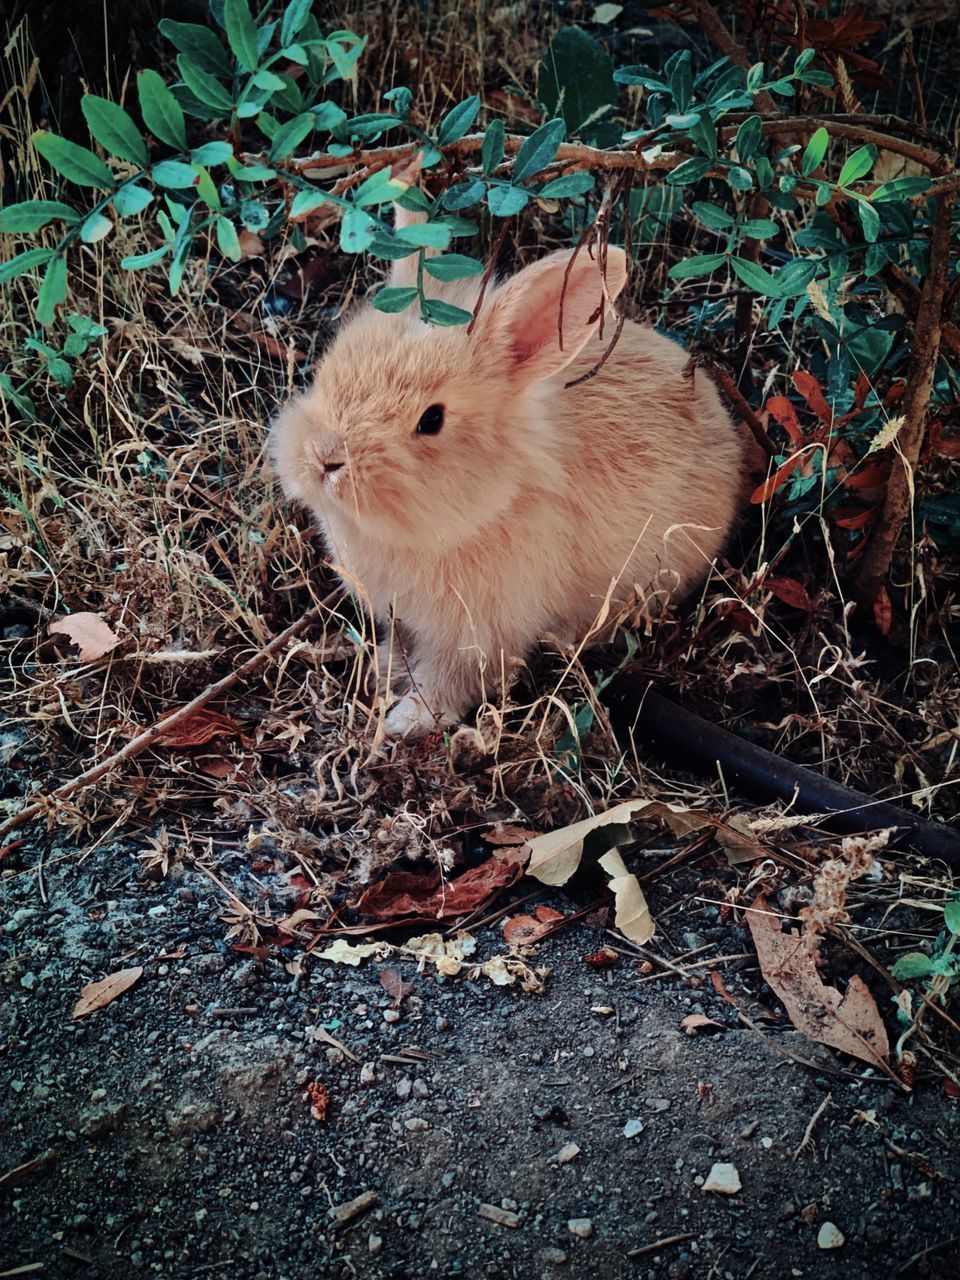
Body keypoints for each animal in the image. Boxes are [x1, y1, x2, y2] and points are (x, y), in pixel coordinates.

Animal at [271, 204, 742, 737]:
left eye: (431, 419)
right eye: (327, 371)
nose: (324, 459)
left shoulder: (478, 636)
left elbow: (448, 683)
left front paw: (404, 721)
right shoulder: (403, 618)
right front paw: (383, 670)